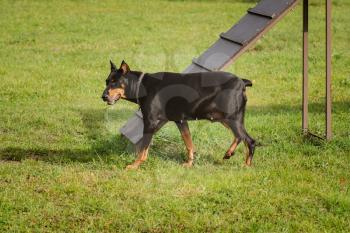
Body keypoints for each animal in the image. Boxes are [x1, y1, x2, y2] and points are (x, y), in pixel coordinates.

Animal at [101, 60, 254, 169]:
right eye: (107, 81)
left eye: (115, 82)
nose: (103, 96)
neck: (142, 86)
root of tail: (242, 82)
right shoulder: (180, 121)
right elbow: (189, 144)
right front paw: (189, 164)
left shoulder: (150, 123)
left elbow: (143, 149)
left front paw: (134, 165)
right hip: (223, 117)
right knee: (240, 136)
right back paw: (232, 155)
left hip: (231, 117)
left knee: (249, 140)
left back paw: (245, 164)